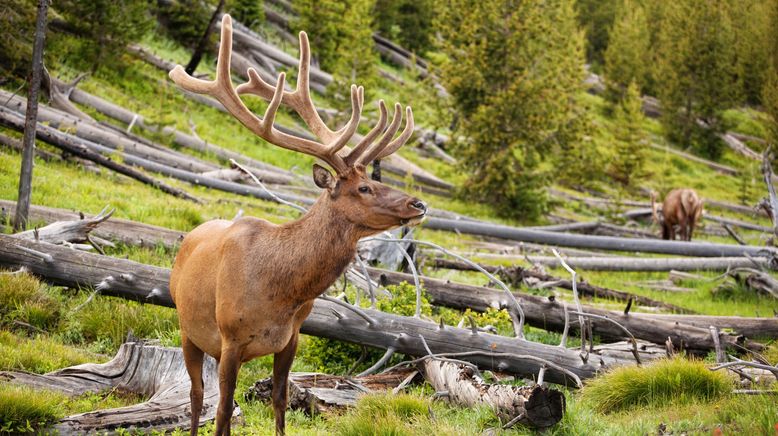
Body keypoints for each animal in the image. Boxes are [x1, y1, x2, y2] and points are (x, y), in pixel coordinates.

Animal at [167, 15, 428, 434]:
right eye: (364, 187)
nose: (418, 203)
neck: (283, 292)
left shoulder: (292, 338)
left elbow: (280, 400)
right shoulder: (231, 339)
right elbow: (222, 411)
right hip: (186, 326)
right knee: (195, 395)